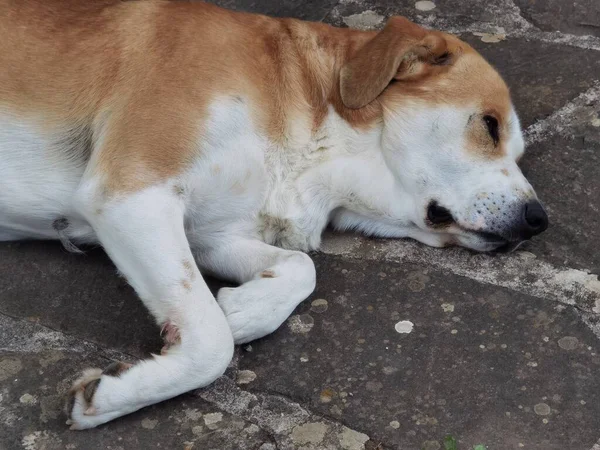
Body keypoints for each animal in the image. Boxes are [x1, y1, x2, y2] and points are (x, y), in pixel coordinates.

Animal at [0, 0, 548, 428]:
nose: (539, 221)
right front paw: (111, 395)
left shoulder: (210, 234)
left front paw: (244, 309)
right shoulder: (130, 194)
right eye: (490, 126)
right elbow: (211, 341)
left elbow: (299, 268)